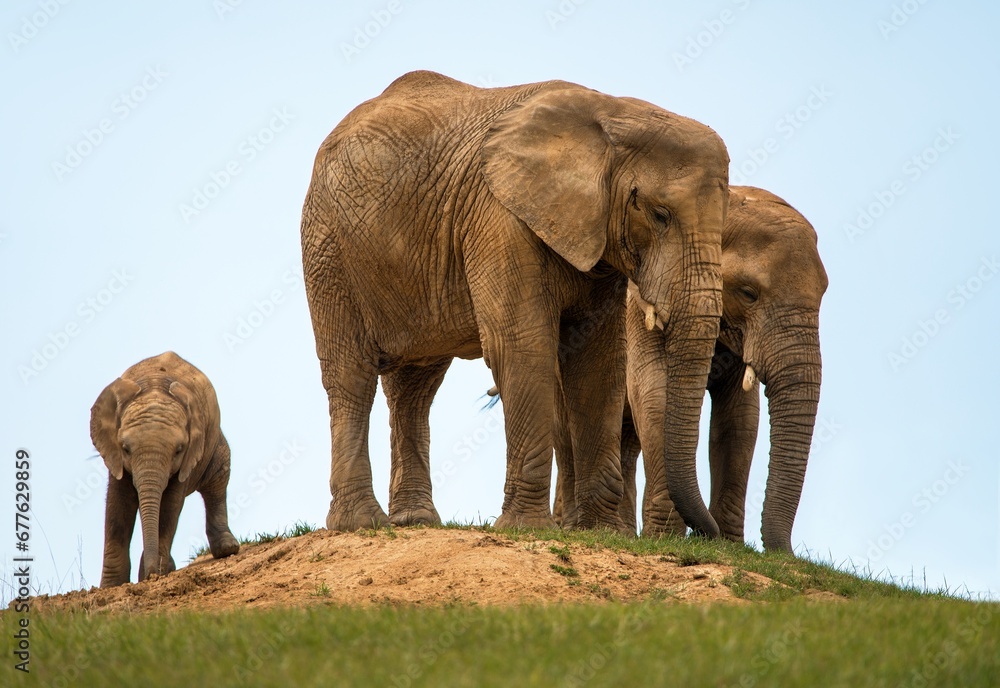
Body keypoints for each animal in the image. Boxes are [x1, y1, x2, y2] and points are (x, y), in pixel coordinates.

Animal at [91, 351, 239, 587]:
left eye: (179, 450)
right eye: (125, 449)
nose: (152, 575)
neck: (154, 387)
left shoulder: (188, 457)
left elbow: (170, 506)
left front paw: (155, 573)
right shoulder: (114, 457)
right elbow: (118, 507)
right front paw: (111, 587)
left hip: (215, 445)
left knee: (217, 483)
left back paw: (227, 548)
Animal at [300, 70, 729, 534]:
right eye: (659, 215)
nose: (710, 536)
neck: (614, 114)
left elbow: (598, 362)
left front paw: (600, 532)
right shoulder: (499, 217)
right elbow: (522, 345)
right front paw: (527, 528)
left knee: (415, 387)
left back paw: (415, 521)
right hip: (328, 247)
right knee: (352, 375)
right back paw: (360, 524)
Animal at [553, 186, 828, 551]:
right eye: (749, 293)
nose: (785, 553)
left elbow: (740, 421)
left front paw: (729, 545)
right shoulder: (639, 303)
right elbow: (655, 393)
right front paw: (667, 537)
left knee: (627, 439)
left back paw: (621, 531)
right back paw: (572, 527)